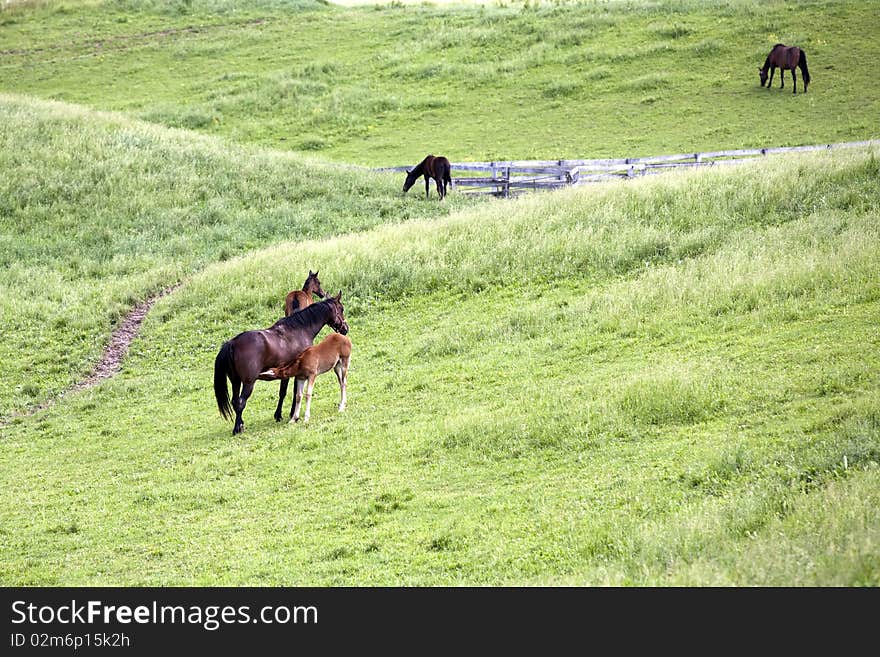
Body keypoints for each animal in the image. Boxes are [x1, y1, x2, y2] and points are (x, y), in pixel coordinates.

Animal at [215, 294, 348, 436]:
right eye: (341, 309)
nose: (345, 328)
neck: (299, 330)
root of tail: (232, 343)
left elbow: (283, 392)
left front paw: (279, 415)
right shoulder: (297, 373)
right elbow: (295, 392)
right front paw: (293, 415)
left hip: (235, 381)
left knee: (235, 402)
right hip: (248, 383)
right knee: (241, 402)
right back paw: (238, 428)